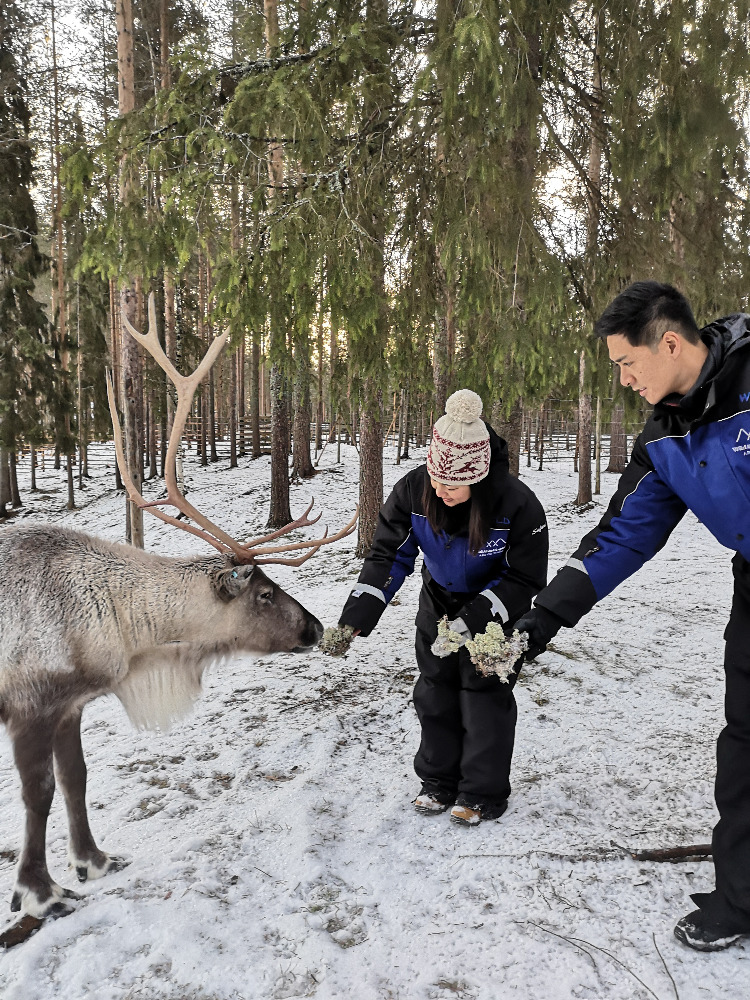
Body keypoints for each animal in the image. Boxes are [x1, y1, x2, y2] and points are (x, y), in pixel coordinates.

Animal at [0, 295, 357, 946]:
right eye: (262, 592)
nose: (317, 628)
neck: (125, 634)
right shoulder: (31, 704)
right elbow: (38, 794)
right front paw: (41, 893)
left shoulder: (71, 705)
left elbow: (77, 778)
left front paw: (94, 861)